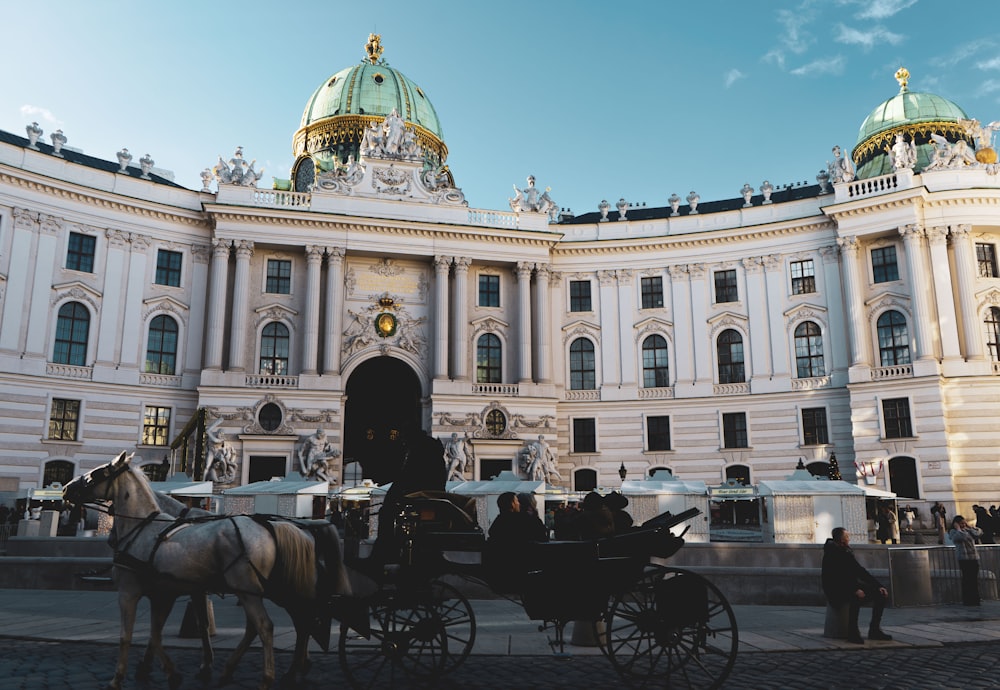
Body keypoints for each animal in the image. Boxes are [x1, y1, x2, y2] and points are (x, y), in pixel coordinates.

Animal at [62, 452, 318, 688]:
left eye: (97, 474)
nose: (65, 489)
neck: (144, 527)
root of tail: (270, 527)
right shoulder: (167, 593)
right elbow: (158, 633)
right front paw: (171, 671)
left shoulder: (129, 591)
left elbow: (127, 635)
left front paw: (120, 677)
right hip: (259, 591)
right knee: (280, 623)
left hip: (252, 590)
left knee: (270, 625)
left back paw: (271, 676)